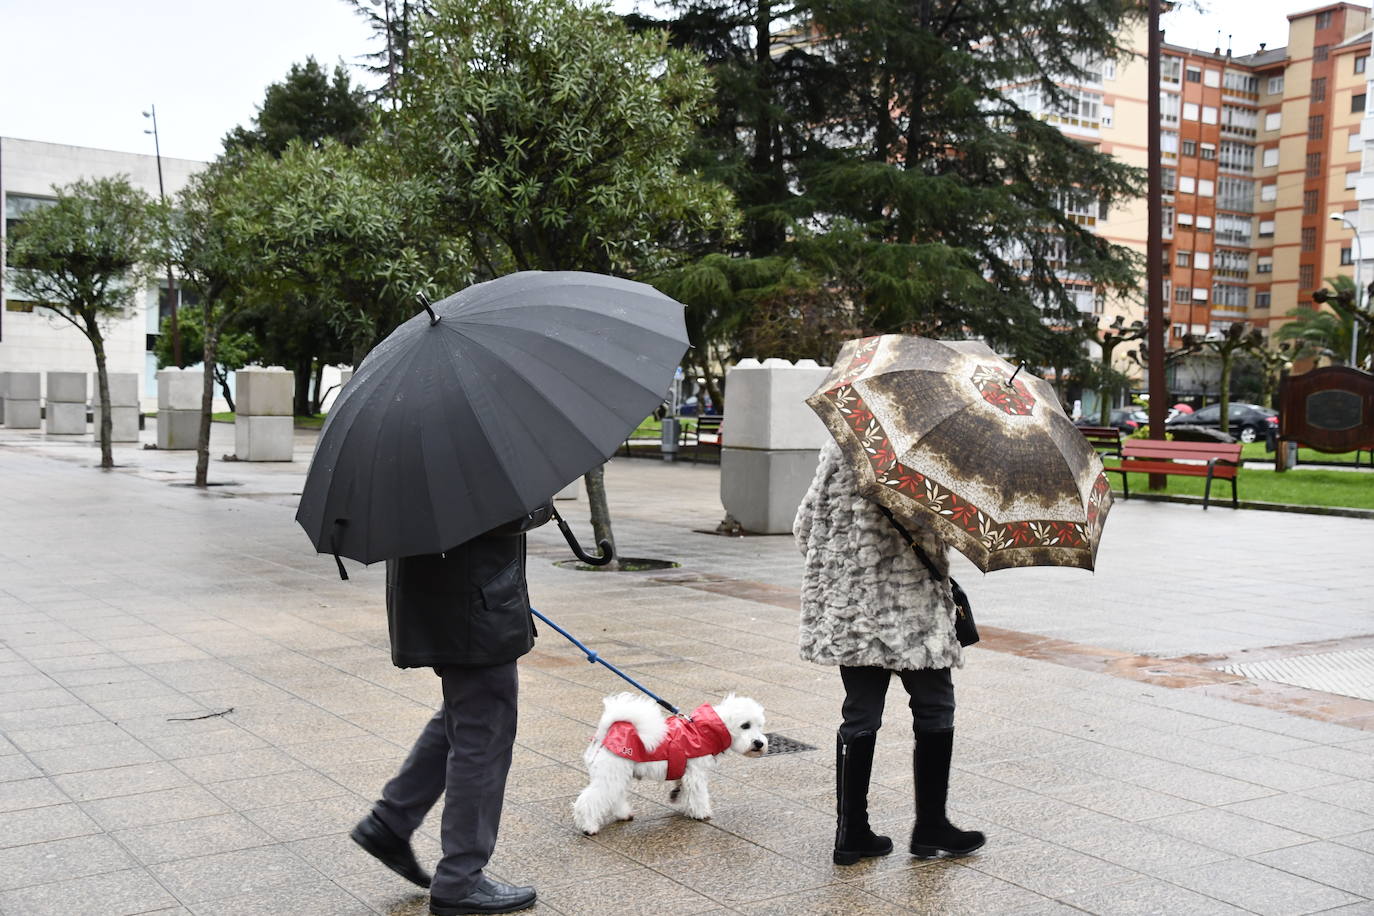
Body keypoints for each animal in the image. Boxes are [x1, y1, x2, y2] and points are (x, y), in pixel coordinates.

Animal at [571, 692, 774, 834]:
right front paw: (701, 813)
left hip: (617, 775)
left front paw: (686, 807)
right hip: (611, 775)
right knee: (588, 801)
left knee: (614, 796)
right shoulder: (695, 773)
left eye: (760, 726)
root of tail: (606, 734)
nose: (759, 743)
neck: (704, 731)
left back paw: (623, 814)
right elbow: (698, 794)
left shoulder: (685, 773)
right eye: (745, 725)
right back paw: (588, 827)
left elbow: (684, 792)